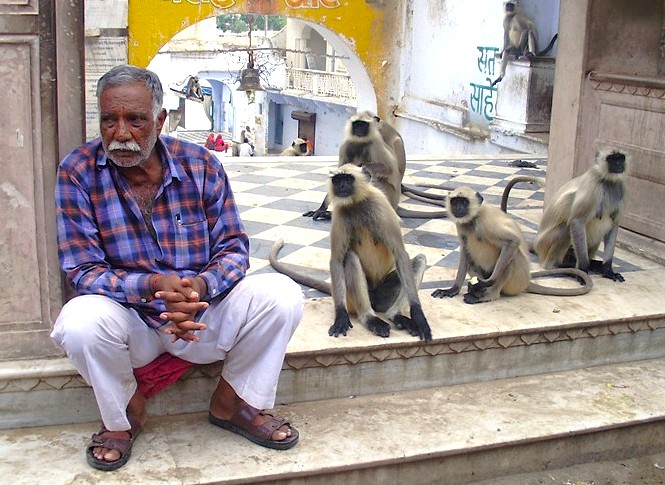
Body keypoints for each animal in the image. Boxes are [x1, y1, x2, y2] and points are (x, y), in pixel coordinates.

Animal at [272, 163, 432, 340]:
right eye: (337, 180)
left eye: (348, 179)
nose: (341, 186)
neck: (357, 203)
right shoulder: (340, 213)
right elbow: (336, 259)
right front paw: (341, 316)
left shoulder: (381, 206)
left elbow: (400, 254)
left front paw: (418, 316)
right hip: (350, 299)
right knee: (350, 257)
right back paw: (369, 317)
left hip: (384, 294)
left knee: (419, 260)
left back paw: (395, 315)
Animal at [303, 111, 449, 221]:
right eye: (357, 124)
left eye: (363, 125)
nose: (360, 130)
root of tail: (395, 204)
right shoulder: (346, 144)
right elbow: (339, 174)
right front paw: (321, 208)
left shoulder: (375, 143)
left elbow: (388, 169)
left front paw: (360, 165)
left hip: (389, 194)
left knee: (372, 177)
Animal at [431, 186, 592, 304]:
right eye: (455, 202)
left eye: (464, 202)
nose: (458, 208)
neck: (473, 220)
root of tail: (526, 280)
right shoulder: (462, 226)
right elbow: (465, 250)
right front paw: (453, 289)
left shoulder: (486, 221)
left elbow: (512, 242)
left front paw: (488, 282)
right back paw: (477, 291)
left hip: (516, 280)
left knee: (512, 258)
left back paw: (488, 294)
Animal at [533, 149, 629, 282]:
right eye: (612, 159)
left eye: (620, 158)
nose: (619, 164)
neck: (608, 180)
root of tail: (537, 244)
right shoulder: (593, 187)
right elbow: (577, 222)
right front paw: (582, 270)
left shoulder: (621, 188)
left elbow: (614, 225)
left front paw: (607, 269)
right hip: (545, 243)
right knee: (566, 230)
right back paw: (559, 266)